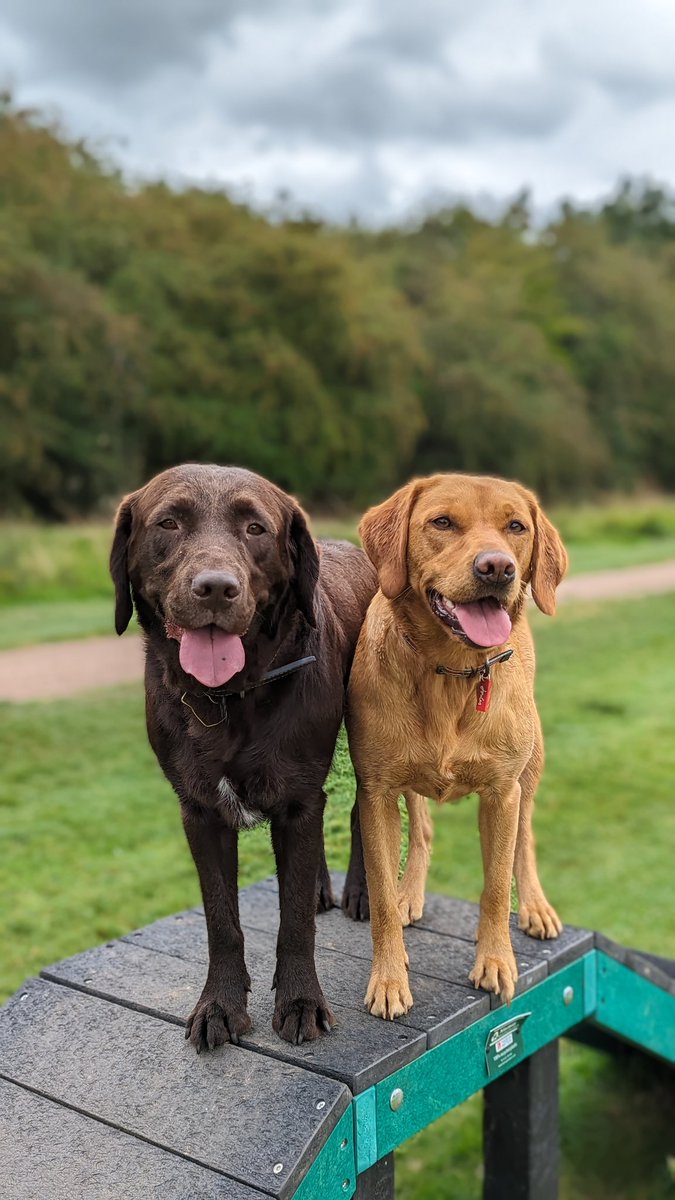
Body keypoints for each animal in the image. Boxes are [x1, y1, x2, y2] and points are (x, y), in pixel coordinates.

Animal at [341, 472, 566, 1017]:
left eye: (516, 526)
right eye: (442, 522)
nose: (497, 567)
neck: (452, 671)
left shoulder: (502, 793)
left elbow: (495, 885)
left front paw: (496, 963)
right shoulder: (376, 792)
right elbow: (380, 895)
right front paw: (389, 979)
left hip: (532, 768)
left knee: (525, 841)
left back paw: (535, 906)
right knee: (421, 830)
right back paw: (410, 892)